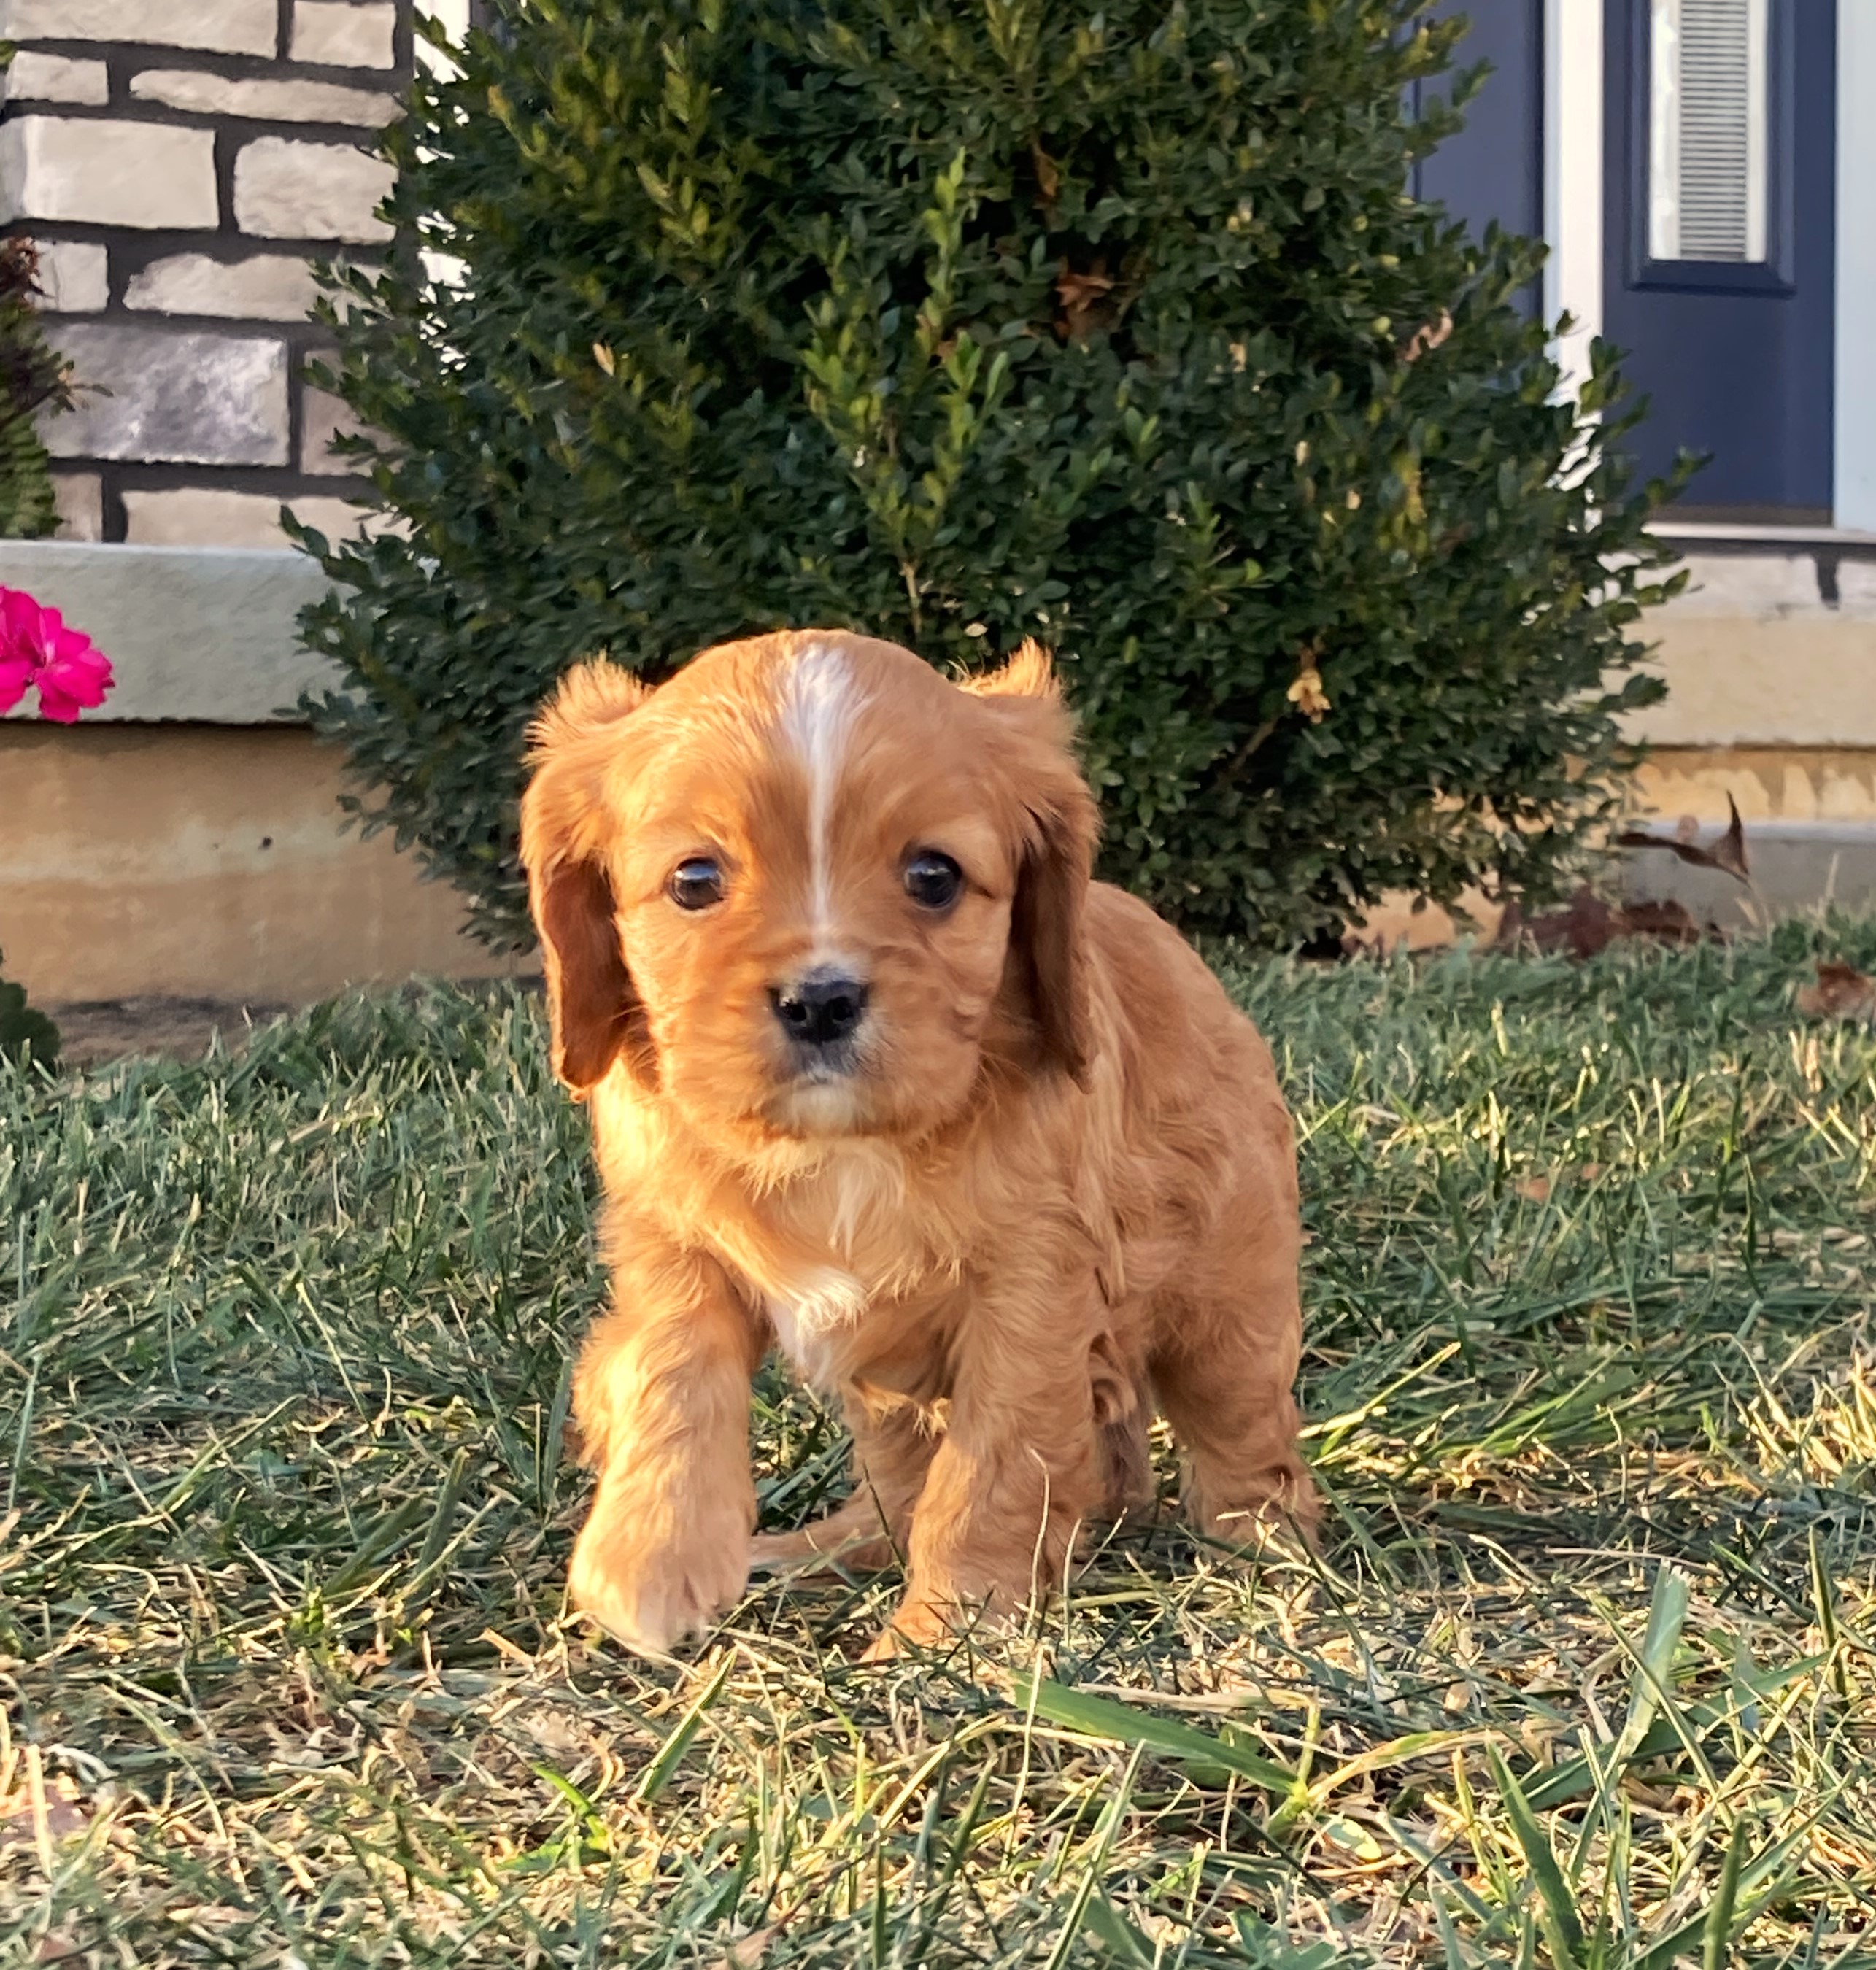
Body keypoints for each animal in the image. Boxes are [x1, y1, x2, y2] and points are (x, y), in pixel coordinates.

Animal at [524, 626, 1316, 1647]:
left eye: (933, 877)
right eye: (694, 882)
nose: (820, 999)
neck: (843, 1149)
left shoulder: (1032, 1291)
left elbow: (993, 1466)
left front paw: (952, 1628)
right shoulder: (670, 1233)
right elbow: (668, 1366)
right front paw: (650, 1556)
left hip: (1228, 1296)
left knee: (1239, 1426)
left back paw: (1267, 1553)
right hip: (886, 1381)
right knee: (901, 1474)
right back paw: (828, 1545)